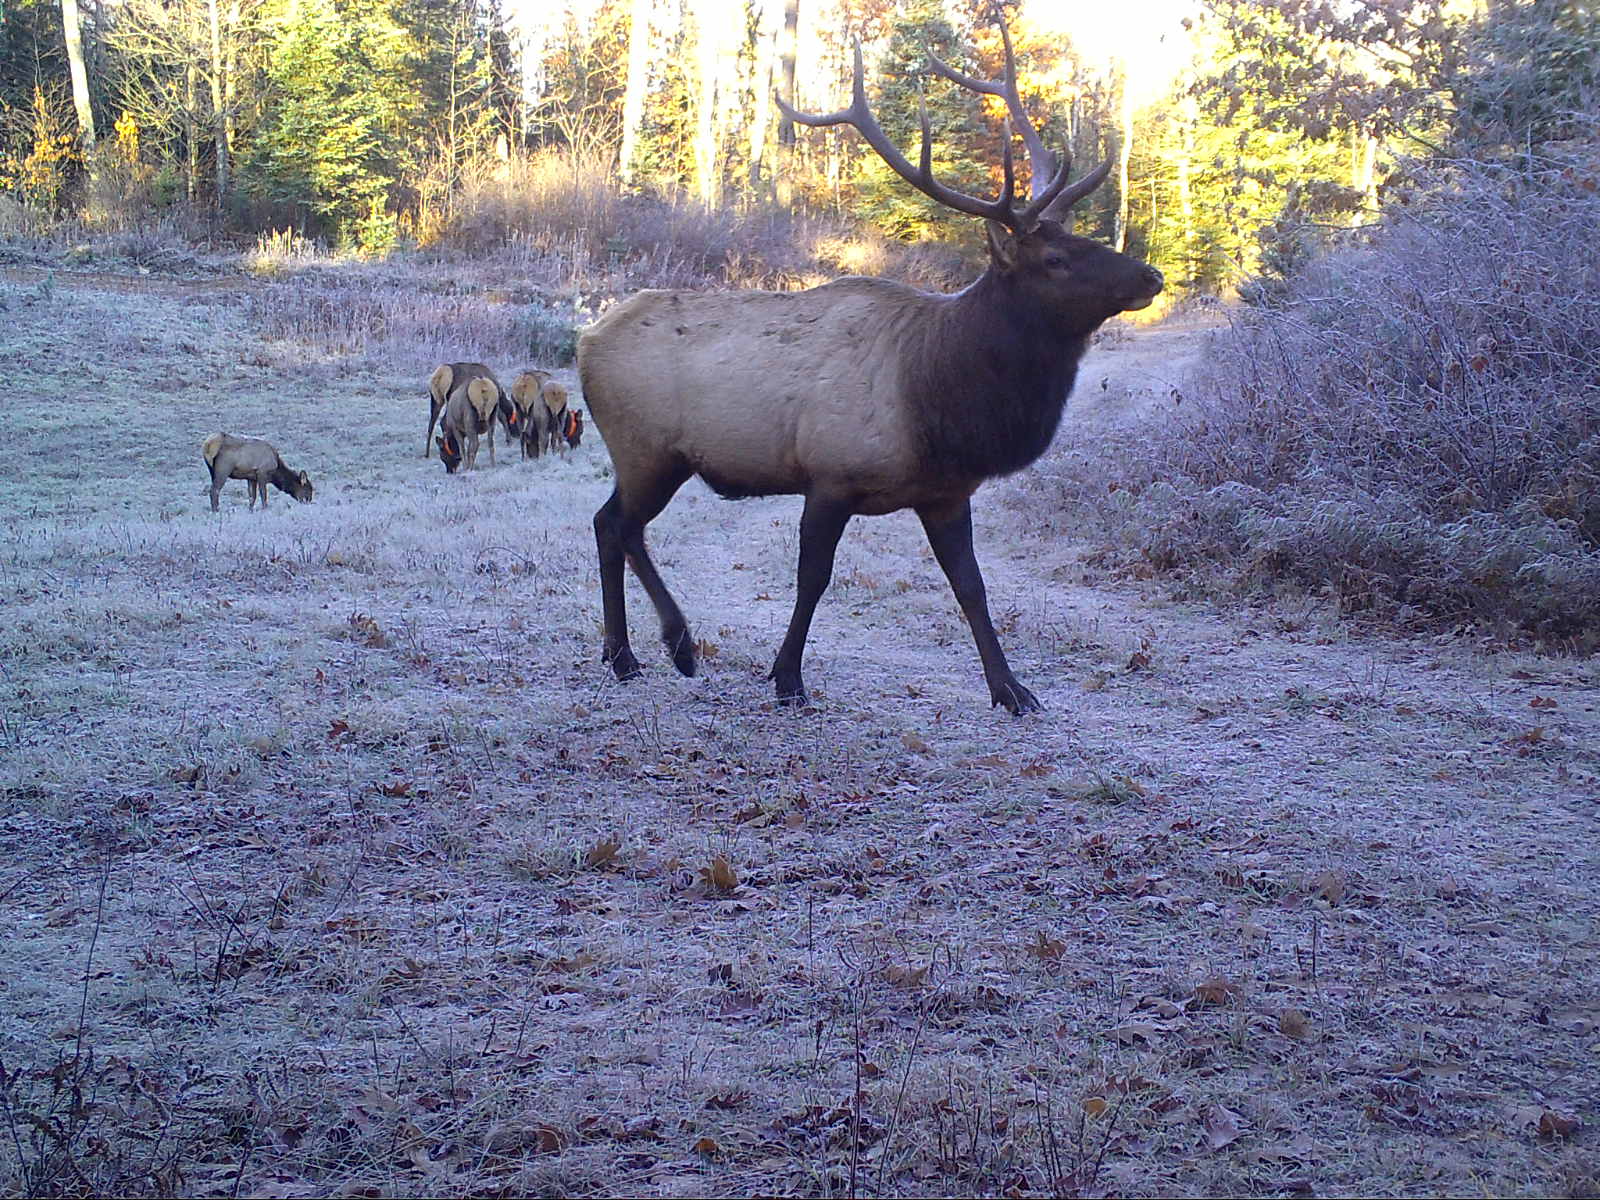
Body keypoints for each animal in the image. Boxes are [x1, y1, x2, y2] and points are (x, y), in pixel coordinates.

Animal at [577, 13, 1163, 714]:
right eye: (1054, 259)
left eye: (1084, 237)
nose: (1151, 276)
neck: (941, 401)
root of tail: (583, 341)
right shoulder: (830, 474)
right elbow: (813, 578)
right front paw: (788, 677)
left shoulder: (945, 492)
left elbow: (972, 587)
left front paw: (1012, 688)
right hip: (646, 447)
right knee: (618, 525)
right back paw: (664, 646)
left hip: (654, 457)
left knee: (611, 525)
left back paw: (631, 653)